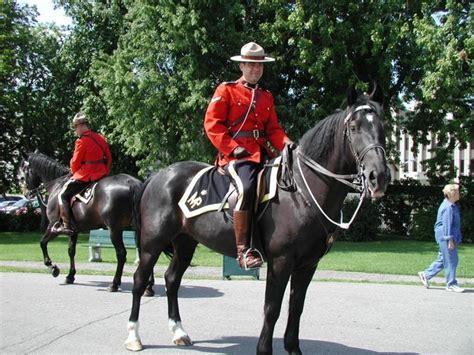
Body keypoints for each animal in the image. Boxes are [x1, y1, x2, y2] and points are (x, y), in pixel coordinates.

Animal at [18, 153, 148, 294]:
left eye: (23, 175)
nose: (27, 193)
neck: (57, 186)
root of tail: (132, 183)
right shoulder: (73, 231)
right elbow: (71, 251)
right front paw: (70, 276)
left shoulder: (52, 226)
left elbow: (42, 243)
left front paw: (53, 267)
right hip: (137, 229)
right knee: (143, 253)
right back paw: (148, 288)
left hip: (115, 230)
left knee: (121, 254)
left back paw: (114, 284)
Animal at [125, 85, 388, 354]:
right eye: (354, 127)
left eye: (383, 127)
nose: (378, 176)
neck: (302, 192)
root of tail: (158, 175)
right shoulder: (281, 262)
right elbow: (272, 309)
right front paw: (264, 349)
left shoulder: (308, 264)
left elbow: (297, 307)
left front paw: (293, 348)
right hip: (152, 243)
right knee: (139, 280)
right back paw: (134, 337)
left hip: (185, 242)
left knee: (172, 280)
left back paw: (179, 332)